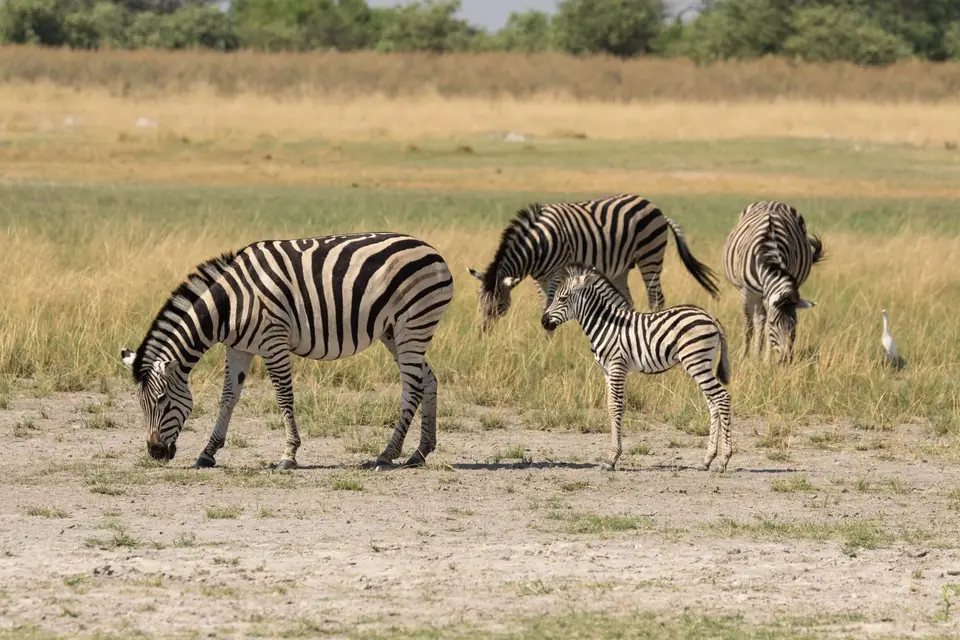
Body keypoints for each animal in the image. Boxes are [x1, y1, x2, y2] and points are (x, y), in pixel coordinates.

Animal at [119, 232, 454, 471]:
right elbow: (228, 397)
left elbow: (283, 397)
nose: (155, 452)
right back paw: (420, 452)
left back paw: (387, 455)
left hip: (412, 325)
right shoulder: (238, 348)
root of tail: (433, 251)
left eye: (162, 400)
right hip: (393, 332)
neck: (229, 305)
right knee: (428, 380)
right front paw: (207, 453)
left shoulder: (273, 341)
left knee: (412, 387)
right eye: (141, 404)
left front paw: (288, 455)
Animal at [467, 194, 720, 334]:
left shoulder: (557, 272)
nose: (482, 334)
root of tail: (655, 208)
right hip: (621, 268)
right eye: (479, 301)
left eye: (500, 307)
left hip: (650, 255)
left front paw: (549, 336)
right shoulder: (540, 278)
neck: (538, 243)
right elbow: (544, 305)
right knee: (627, 300)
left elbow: (550, 303)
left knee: (656, 298)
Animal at [541, 264, 733, 473]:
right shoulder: (606, 371)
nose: (543, 321)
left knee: (722, 398)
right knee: (713, 404)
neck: (605, 324)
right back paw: (707, 460)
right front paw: (612, 456)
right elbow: (610, 406)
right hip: (703, 363)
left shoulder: (617, 366)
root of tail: (710, 317)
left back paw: (723, 460)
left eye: (562, 299)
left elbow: (616, 407)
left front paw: (612, 459)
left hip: (696, 361)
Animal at [722, 200, 824, 363]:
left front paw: (767, 361)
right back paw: (754, 353)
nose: (785, 359)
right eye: (773, 324)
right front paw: (744, 356)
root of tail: (773, 203)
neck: (768, 257)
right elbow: (748, 324)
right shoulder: (747, 293)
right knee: (758, 318)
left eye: (794, 324)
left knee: (761, 316)